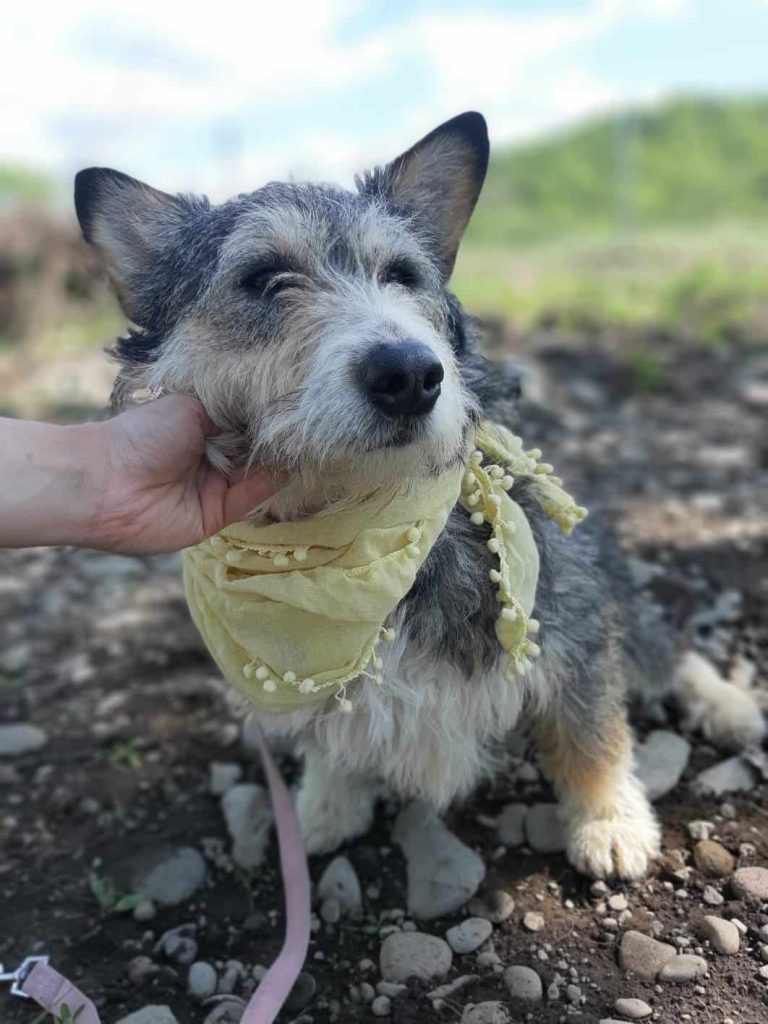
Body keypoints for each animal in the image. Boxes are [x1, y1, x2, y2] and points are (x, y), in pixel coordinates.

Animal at [73, 112, 765, 880]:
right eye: (265, 279)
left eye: (401, 274)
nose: (410, 374)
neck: (362, 524)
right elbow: (333, 743)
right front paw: (325, 804)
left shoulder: (573, 627)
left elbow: (592, 732)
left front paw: (609, 821)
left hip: (613, 597)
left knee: (666, 652)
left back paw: (729, 704)